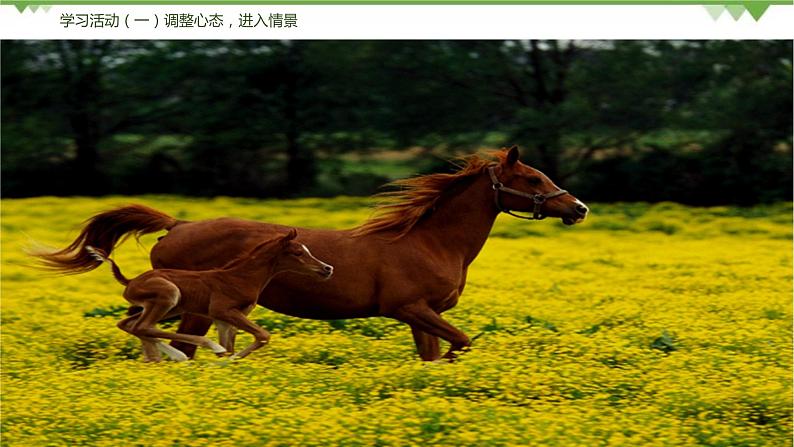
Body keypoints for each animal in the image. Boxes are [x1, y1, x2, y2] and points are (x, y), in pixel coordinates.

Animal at [86, 229, 333, 362]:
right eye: (298, 252)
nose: (327, 268)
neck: (241, 277)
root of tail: (130, 281)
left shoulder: (224, 319)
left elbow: (233, 346)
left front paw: (225, 363)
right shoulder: (222, 310)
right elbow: (262, 336)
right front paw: (224, 359)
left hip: (167, 307)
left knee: (130, 324)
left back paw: (157, 358)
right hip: (169, 295)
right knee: (142, 326)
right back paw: (187, 352)